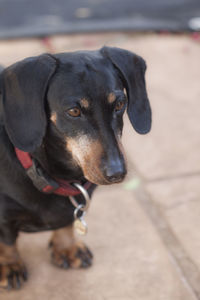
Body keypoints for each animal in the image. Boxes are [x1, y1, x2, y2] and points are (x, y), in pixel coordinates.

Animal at [0, 47, 151, 290]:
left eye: (120, 105)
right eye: (73, 111)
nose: (117, 173)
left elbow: (66, 223)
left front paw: (67, 247)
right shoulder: (3, 215)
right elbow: (6, 241)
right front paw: (9, 264)